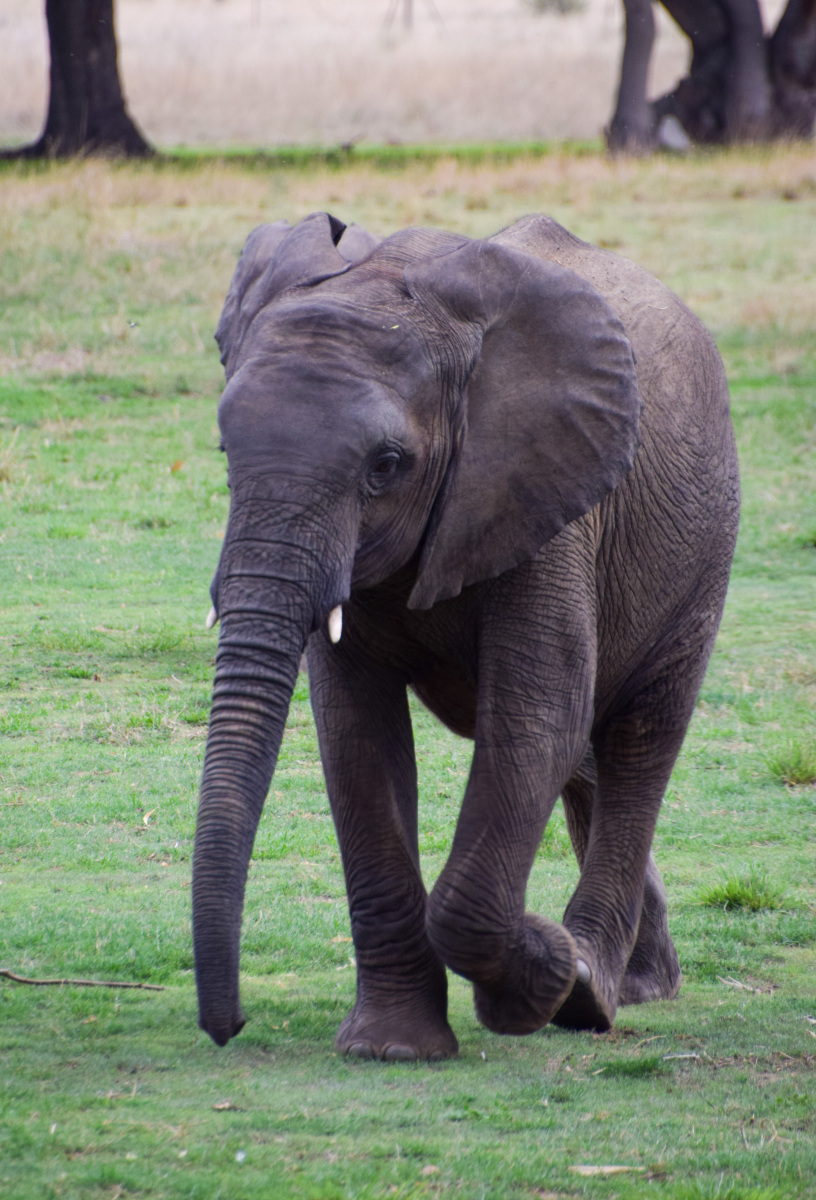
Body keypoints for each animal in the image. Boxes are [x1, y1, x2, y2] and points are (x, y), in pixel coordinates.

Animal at [190, 211, 739, 1056]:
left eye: (386, 465)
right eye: (226, 450)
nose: (232, 1026)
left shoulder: (548, 495)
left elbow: (534, 721)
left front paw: (547, 974)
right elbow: (356, 736)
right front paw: (390, 1050)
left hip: (700, 549)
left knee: (639, 740)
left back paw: (595, 991)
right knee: (589, 754)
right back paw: (641, 982)